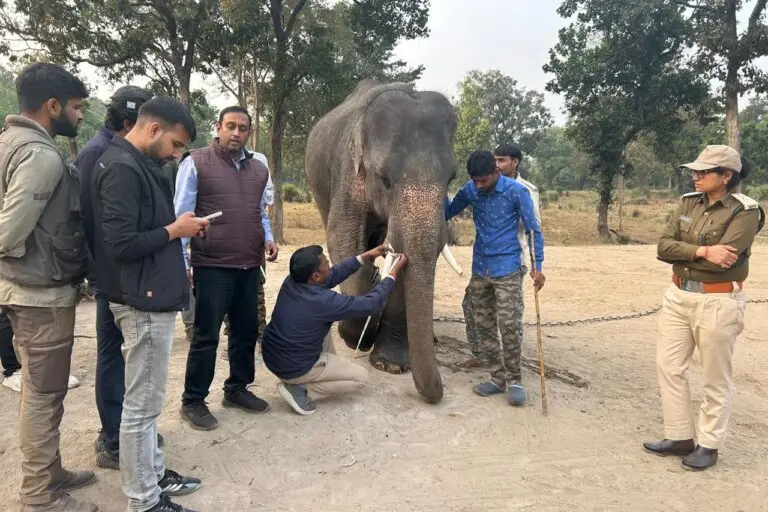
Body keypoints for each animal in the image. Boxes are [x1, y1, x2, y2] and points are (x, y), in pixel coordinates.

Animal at [304, 79, 462, 404]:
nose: (438, 394)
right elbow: (343, 239)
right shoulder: (348, 172)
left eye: (451, 178)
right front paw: (362, 331)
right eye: (384, 179)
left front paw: (391, 365)